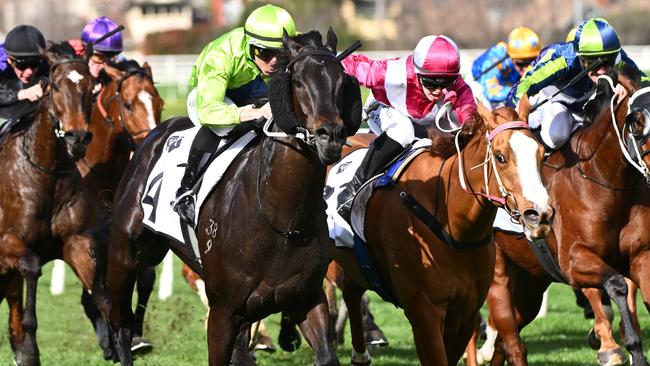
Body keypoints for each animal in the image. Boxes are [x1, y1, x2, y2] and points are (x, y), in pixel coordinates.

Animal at [0, 43, 95, 366]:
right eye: (55, 86)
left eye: (92, 87)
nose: (77, 138)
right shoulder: (7, 244)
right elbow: (30, 265)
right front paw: (30, 347)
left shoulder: (76, 240)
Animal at [93, 29, 362, 366]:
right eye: (298, 81)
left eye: (342, 80)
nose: (331, 135)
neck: (282, 218)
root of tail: (153, 135)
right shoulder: (223, 310)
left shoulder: (306, 297)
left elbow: (324, 354)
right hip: (124, 256)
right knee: (121, 323)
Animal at [324, 103, 552, 366]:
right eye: (500, 157)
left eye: (542, 154)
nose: (540, 215)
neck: (453, 228)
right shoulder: (424, 312)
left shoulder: (466, 312)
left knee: (350, 288)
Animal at [484, 75, 648, 366]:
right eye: (638, 121)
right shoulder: (574, 261)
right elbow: (616, 285)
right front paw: (619, 349)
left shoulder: (642, 256)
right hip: (497, 277)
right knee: (508, 337)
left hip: (531, 284)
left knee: (504, 340)